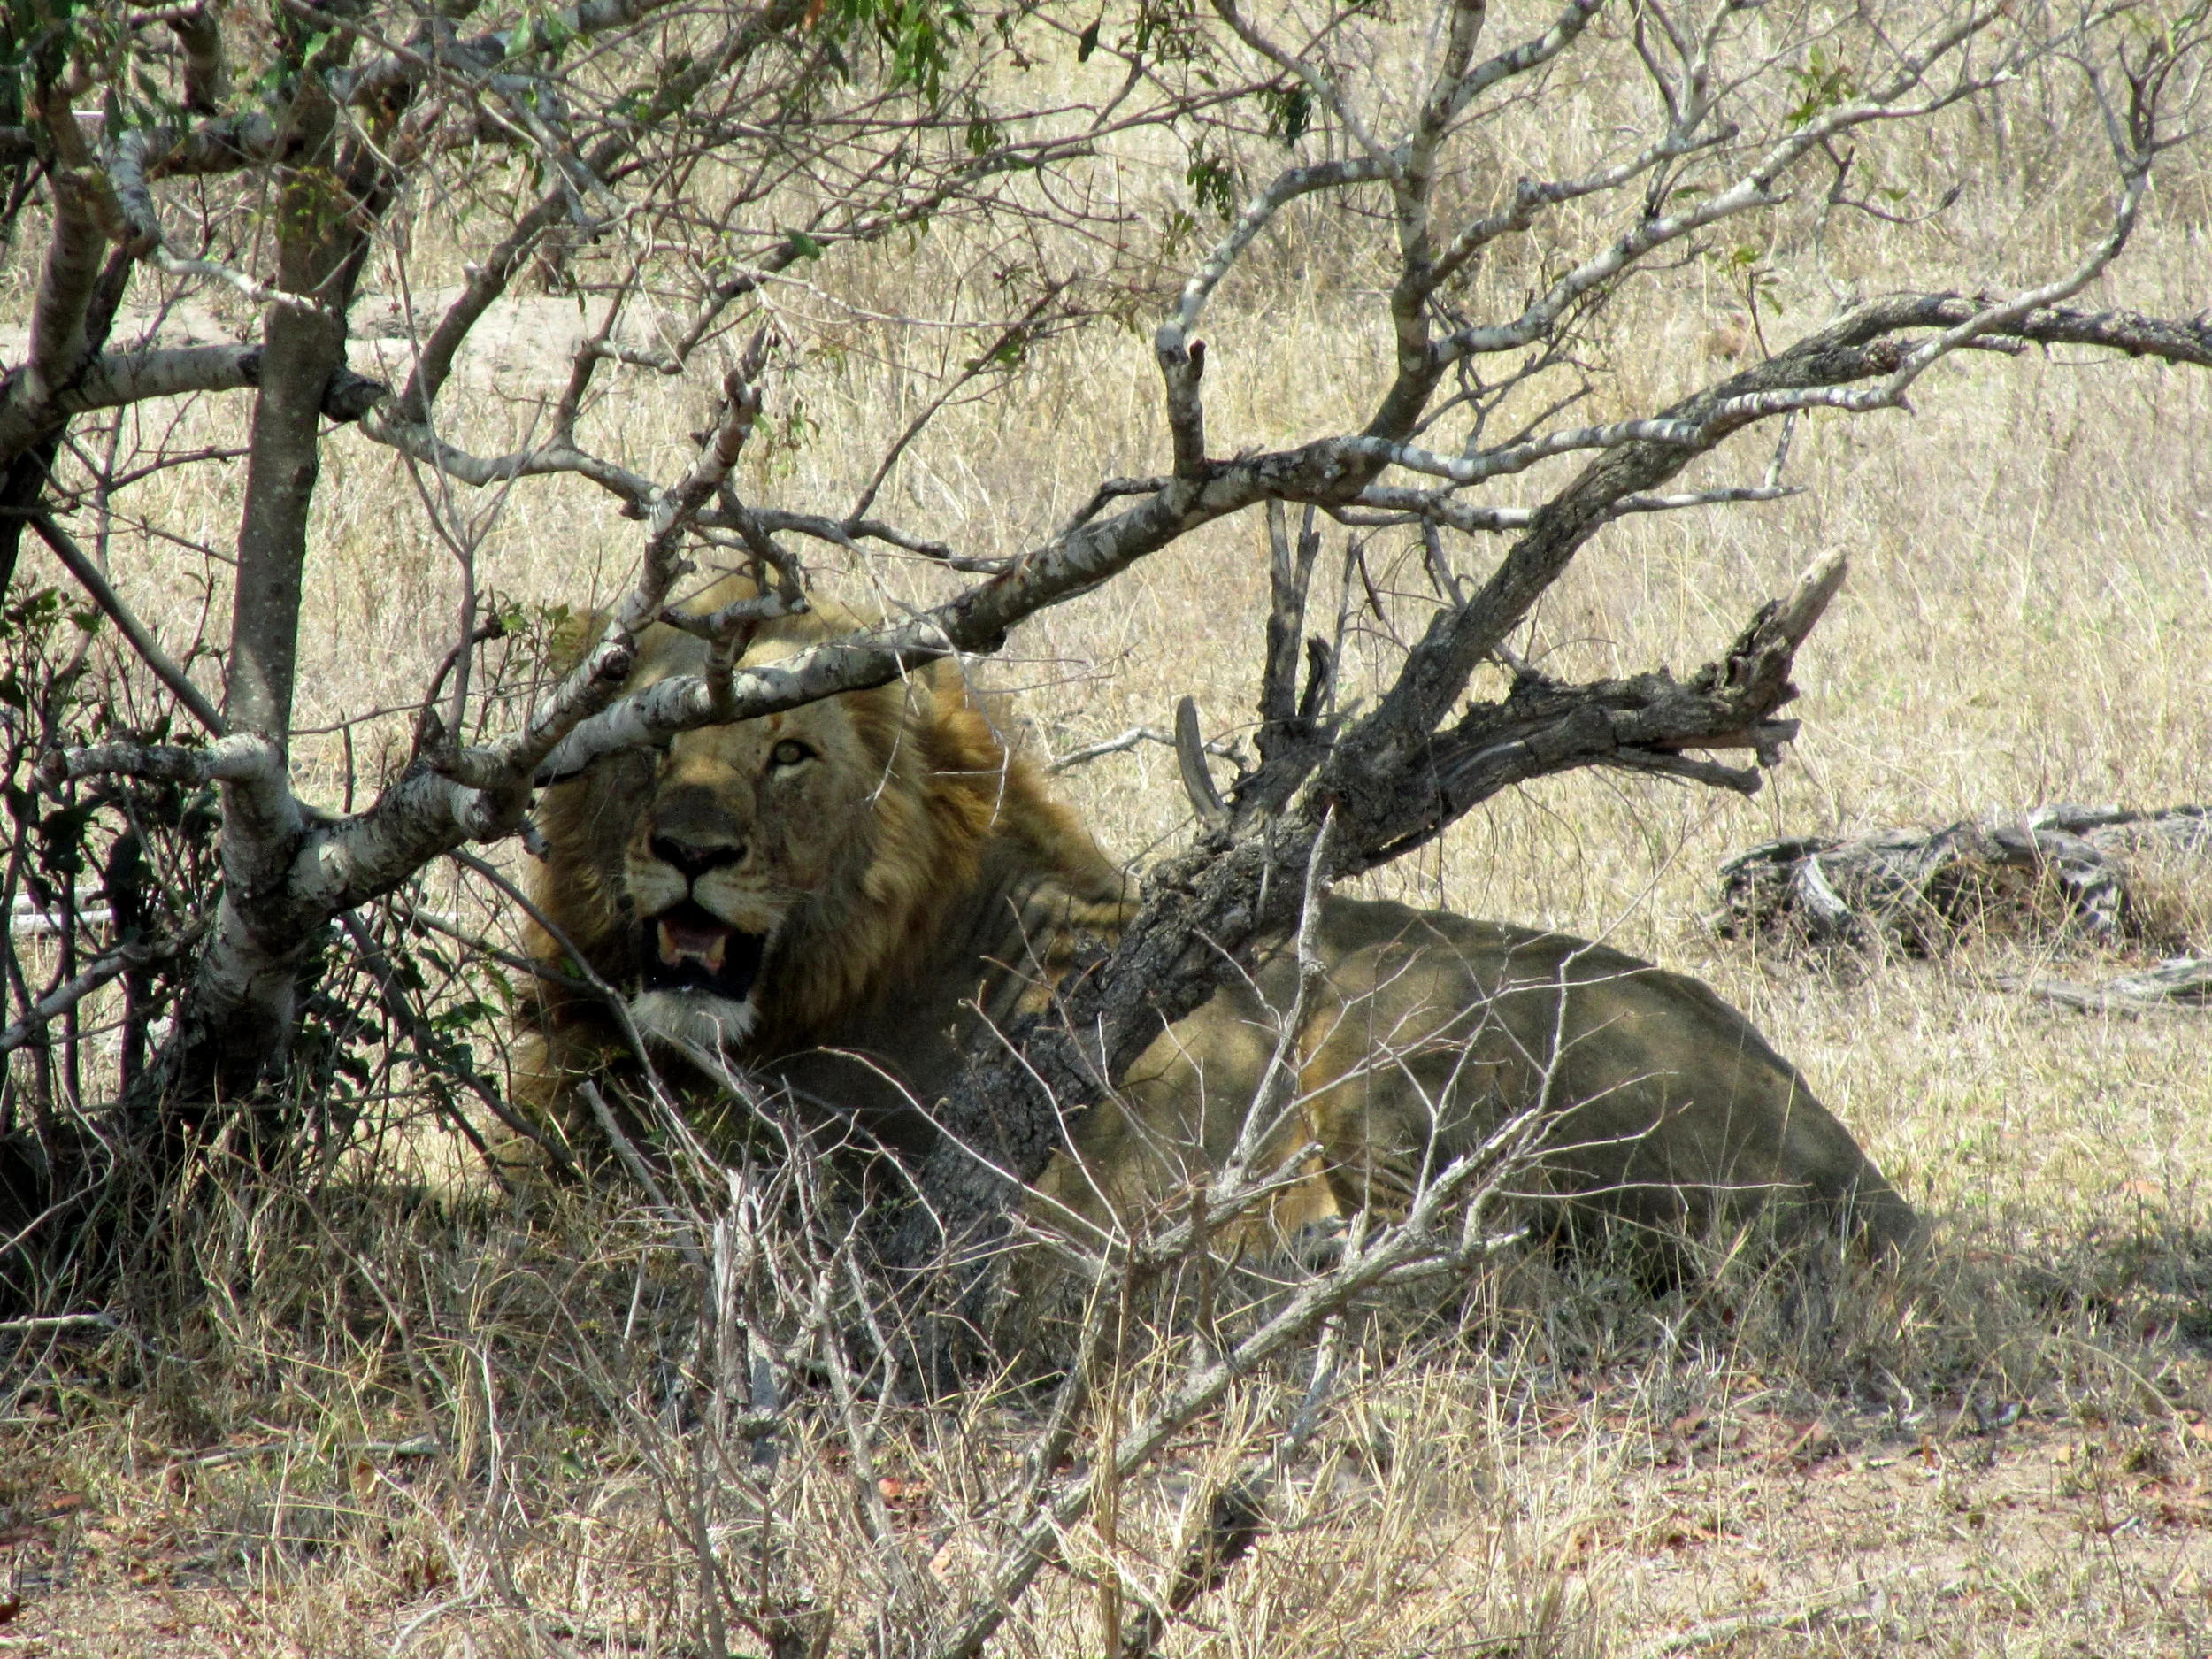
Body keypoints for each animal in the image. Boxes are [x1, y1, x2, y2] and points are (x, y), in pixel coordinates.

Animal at [520, 578, 1917, 1268]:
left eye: (790, 752)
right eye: (649, 747)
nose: (690, 851)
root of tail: (1862, 1176)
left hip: (1396, 1029)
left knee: (1474, 1255)